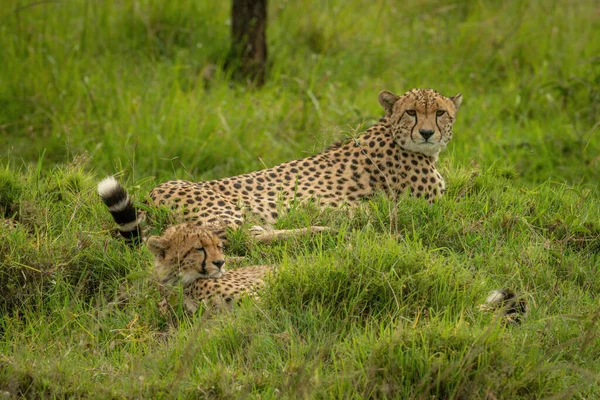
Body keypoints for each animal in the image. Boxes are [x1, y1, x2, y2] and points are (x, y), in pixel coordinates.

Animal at [101, 88, 462, 241]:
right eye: (411, 112)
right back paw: (323, 228)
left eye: (439, 112)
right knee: (238, 239)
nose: (427, 133)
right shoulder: (426, 205)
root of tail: (151, 194)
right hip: (224, 210)